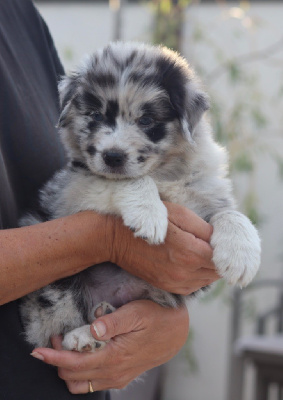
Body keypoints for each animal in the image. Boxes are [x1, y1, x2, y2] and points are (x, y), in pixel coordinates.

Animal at [19, 42, 262, 352]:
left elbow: (231, 213)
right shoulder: (73, 187)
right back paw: (83, 337)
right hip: (53, 289)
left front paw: (242, 256)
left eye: (146, 120)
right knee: (53, 329)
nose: (112, 157)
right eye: (96, 116)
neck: (165, 173)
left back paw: (101, 319)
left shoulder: (204, 198)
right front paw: (149, 215)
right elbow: (131, 180)